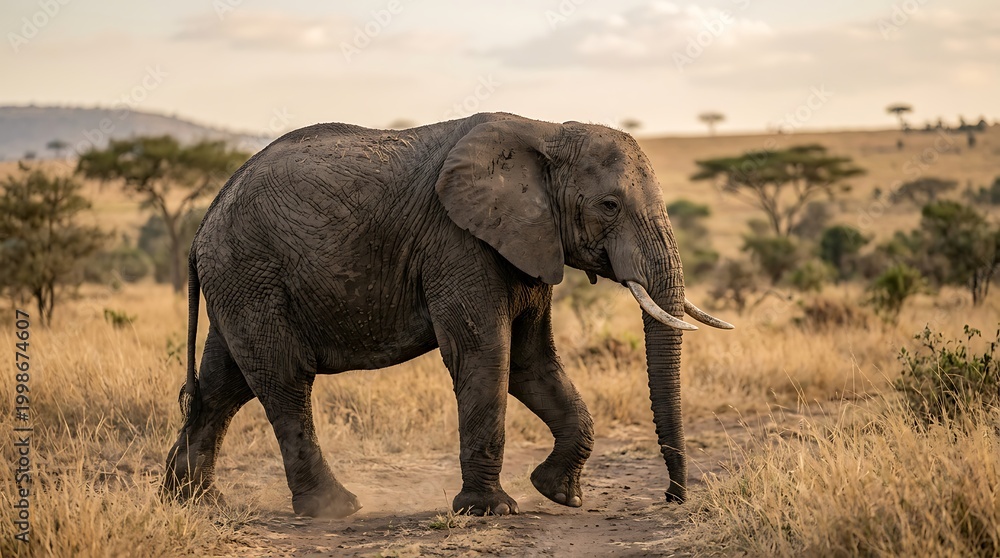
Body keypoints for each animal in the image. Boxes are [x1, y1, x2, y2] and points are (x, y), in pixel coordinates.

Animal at [161, 112, 733, 518]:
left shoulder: (526, 244)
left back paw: (190, 502)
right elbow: (486, 355)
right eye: (610, 205)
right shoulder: (458, 243)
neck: (548, 132)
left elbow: (530, 364)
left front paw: (559, 494)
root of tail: (205, 218)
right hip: (250, 272)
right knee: (284, 379)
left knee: (224, 384)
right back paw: (332, 509)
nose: (671, 499)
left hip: (240, 281)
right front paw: (491, 511)